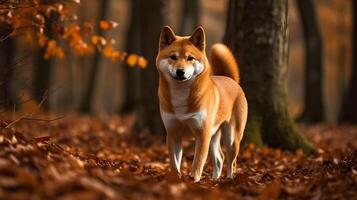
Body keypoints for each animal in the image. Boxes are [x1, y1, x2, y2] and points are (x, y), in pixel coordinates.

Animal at [156, 25, 248, 182]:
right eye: (173, 57)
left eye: (190, 58)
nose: (180, 71)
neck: (181, 97)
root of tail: (231, 80)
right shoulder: (173, 133)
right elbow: (174, 163)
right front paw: (176, 179)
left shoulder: (202, 133)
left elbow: (198, 162)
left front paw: (193, 180)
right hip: (213, 135)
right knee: (219, 158)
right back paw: (215, 181)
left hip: (231, 136)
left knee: (232, 161)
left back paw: (229, 180)